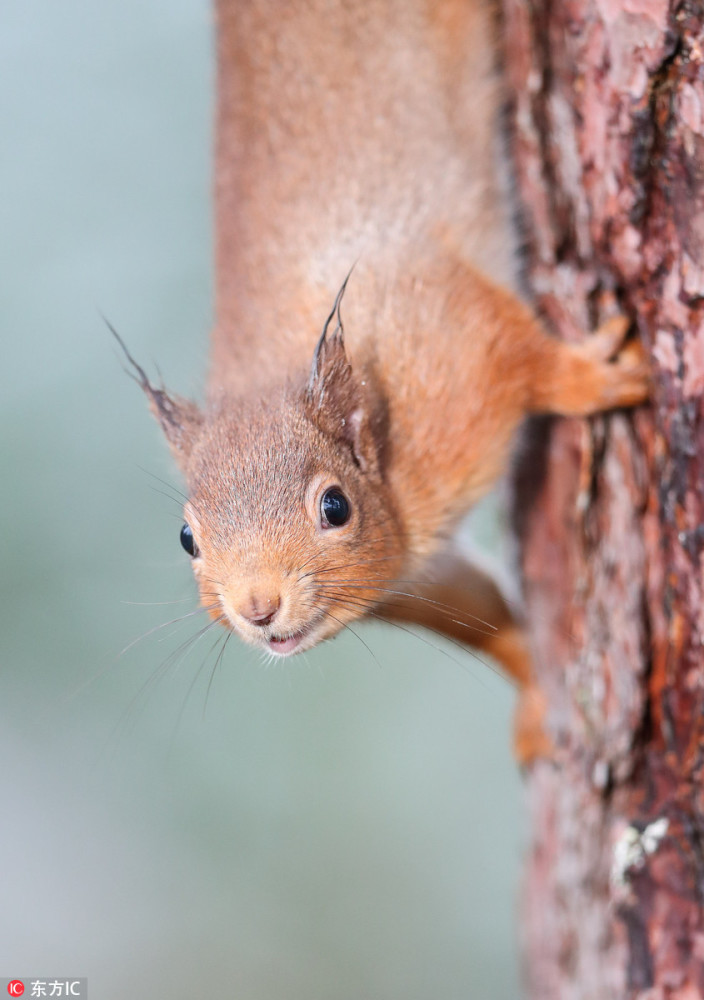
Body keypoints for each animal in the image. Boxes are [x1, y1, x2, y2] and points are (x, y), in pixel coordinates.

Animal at [121, 0, 648, 756]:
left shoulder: (452, 345)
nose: (258, 608)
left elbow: (522, 355)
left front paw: (590, 376)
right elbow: (484, 618)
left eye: (335, 506)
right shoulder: (414, 575)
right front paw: (533, 696)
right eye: (187, 539)